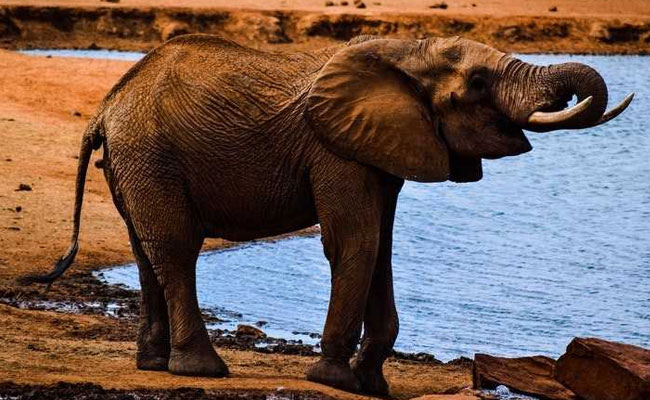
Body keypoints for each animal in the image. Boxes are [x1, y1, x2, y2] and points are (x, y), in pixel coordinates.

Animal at [26, 34, 632, 394]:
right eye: (478, 84)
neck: (404, 52)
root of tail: (105, 105)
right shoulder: (335, 150)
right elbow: (354, 243)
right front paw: (336, 379)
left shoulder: (382, 147)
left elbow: (382, 246)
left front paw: (371, 385)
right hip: (150, 154)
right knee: (176, 249)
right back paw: (201, 369)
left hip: (133, 161)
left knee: (144, 249)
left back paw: (152, 365)